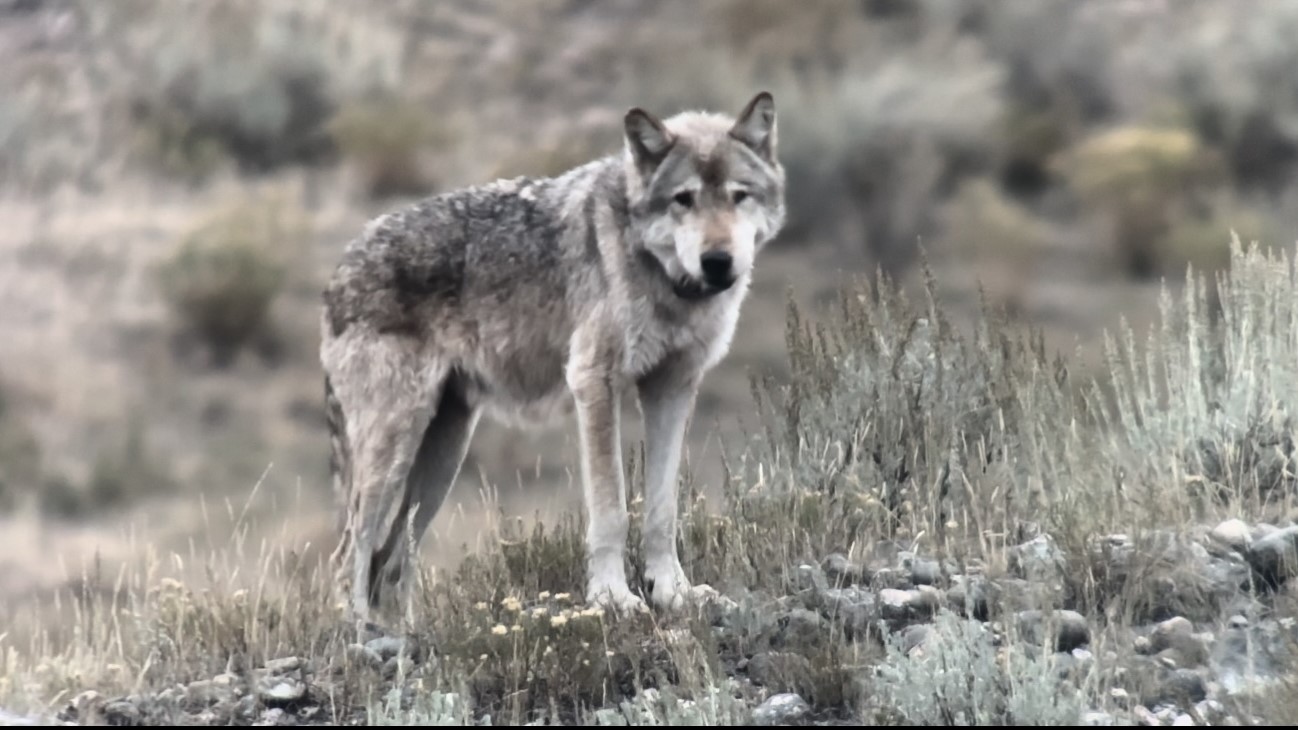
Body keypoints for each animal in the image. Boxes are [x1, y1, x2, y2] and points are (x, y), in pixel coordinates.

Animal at [321, 90, 789, 626]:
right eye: (683, 199)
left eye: (739, 195)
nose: (717, 261)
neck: (663, 278)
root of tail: (337, 271)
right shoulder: (594, 381)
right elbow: (611, 508)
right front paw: (613, 597)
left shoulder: (673, 386)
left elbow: (663, 509)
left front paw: (673, 592)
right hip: (394, 447)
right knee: (349, 554)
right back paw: (358, 632)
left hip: (444, 453)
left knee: (389, 558)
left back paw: (400, 633)